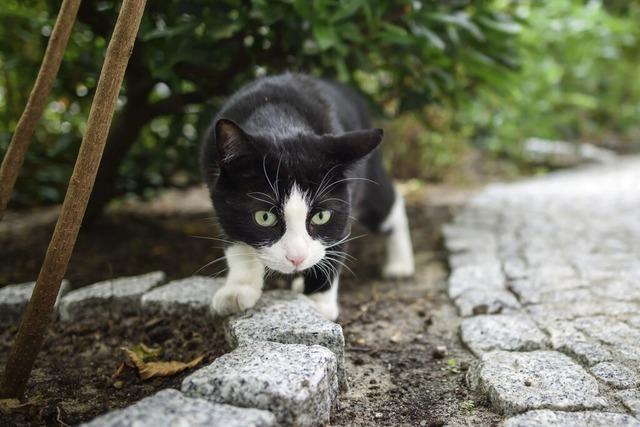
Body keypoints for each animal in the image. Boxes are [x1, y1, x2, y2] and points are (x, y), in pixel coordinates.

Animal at [202, 73, 418, 320]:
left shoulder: (346, 198)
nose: (297, 259)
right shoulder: (218, 189)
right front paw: (238, 289)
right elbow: (236, 237)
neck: (280, 122)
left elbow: (335, 242)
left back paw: (400, 264)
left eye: (321, 216)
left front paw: (318, 303)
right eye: (264, 217)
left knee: (389, 203)